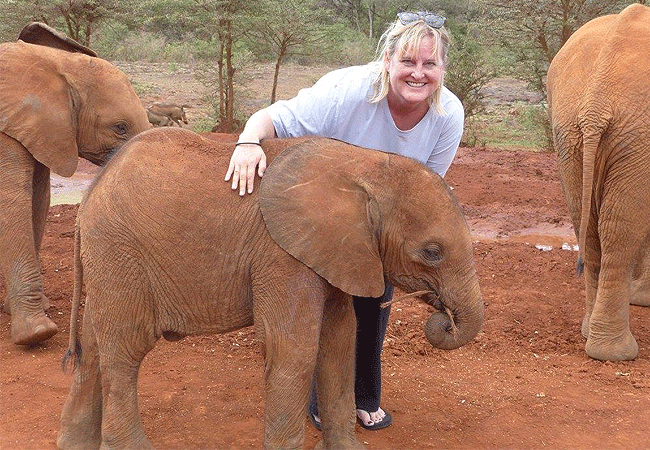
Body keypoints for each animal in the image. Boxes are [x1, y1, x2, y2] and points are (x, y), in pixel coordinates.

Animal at [57, 126, 480, 450]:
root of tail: (88, 197)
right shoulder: (281, 255)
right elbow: (293, 348)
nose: (443, 319)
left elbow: (339, 341)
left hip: (109, 259)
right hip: (118, 250)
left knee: (94, 347)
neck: (364, 165)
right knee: (125, 351)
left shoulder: (331, 252)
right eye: (432, 252)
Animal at [548, 3, 648, 360]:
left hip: (568, 131)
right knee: (618, 228)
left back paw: (590, 334)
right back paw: (616, 353)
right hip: (636, 136)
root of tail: (596, 102)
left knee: (587, 224)